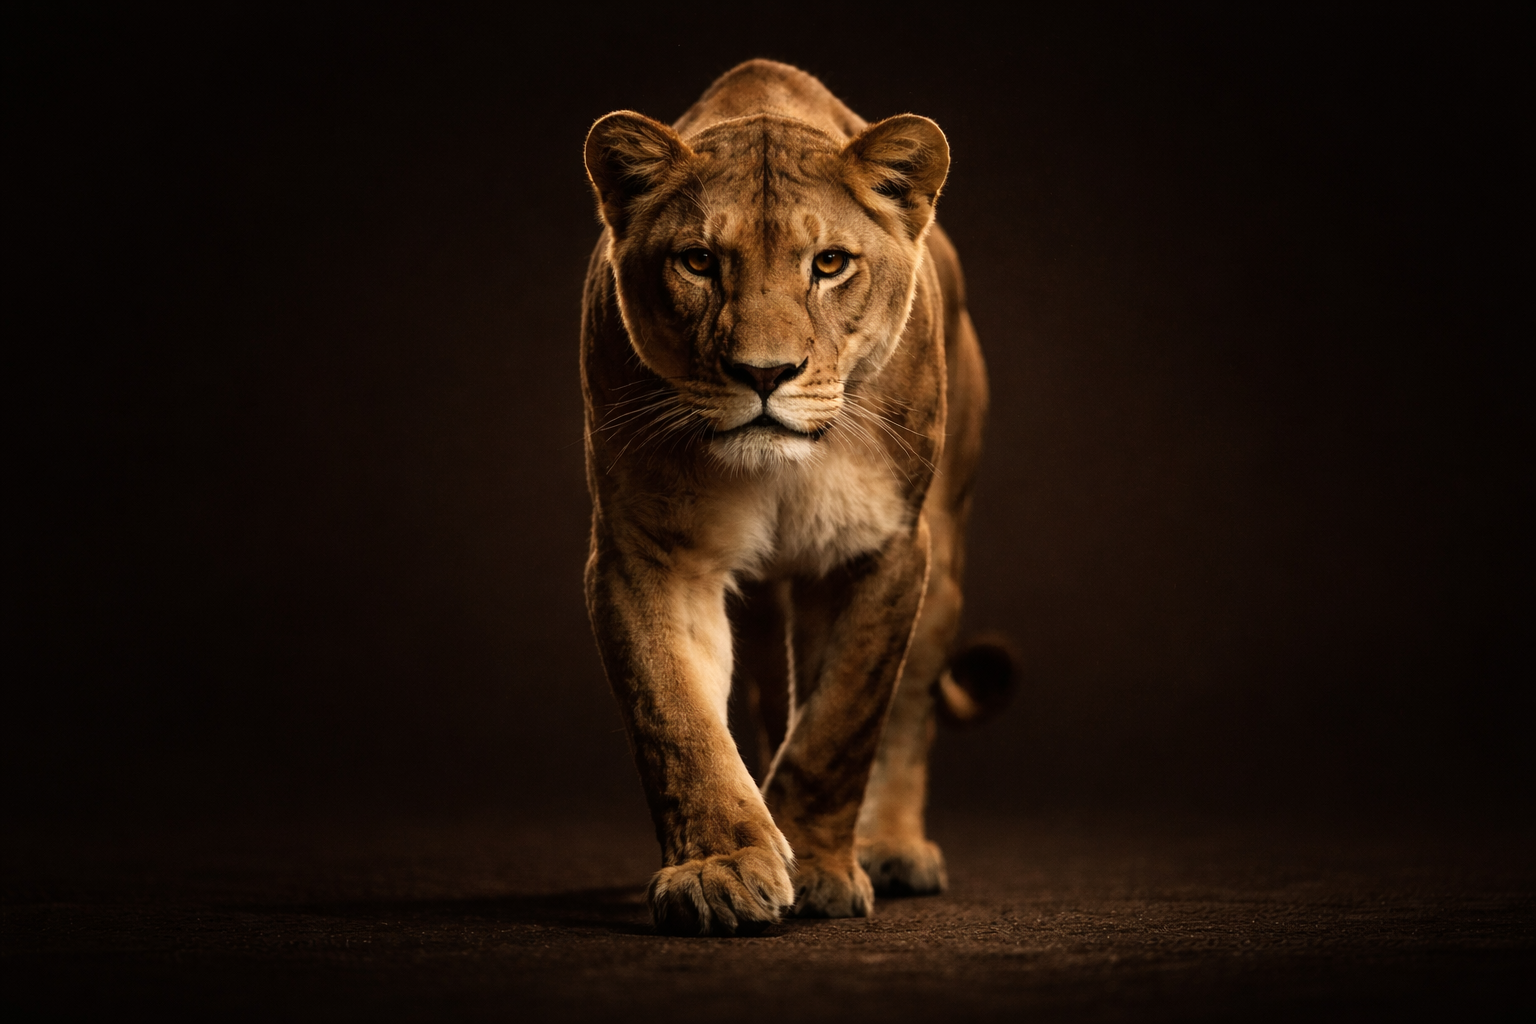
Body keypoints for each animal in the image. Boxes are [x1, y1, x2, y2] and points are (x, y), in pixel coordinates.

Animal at [581, 59, 1010, 936]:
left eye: (830, 263)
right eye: (699, 261)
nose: (765, 373)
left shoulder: (881, 550)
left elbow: (840, 726)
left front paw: (816, 869)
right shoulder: (648, 555)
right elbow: (676, 720)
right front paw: (720, 870)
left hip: (943, 570)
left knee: (909, 712)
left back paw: (892, 849)